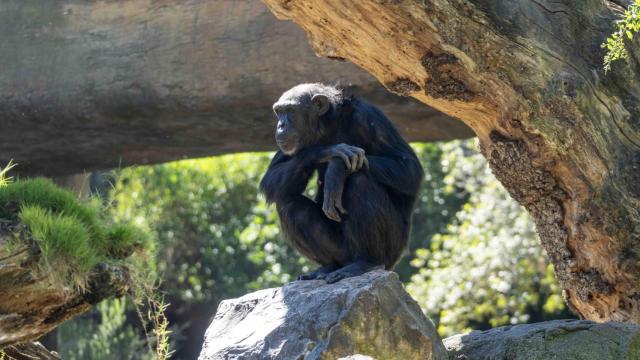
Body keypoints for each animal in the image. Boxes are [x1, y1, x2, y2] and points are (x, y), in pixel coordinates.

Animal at [258, 83, 422, 282]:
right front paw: (327, 151)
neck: (328, 125)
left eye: (290, 111)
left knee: (360, 182)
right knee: (287, 202)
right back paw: (328, 267)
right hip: (341, 251)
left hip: (391, 252)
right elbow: (271, 177)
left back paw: (365, 262)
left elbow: (408, 168)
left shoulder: (369, 118)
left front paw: (337, 169)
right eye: (279, 112)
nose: (281, 125)